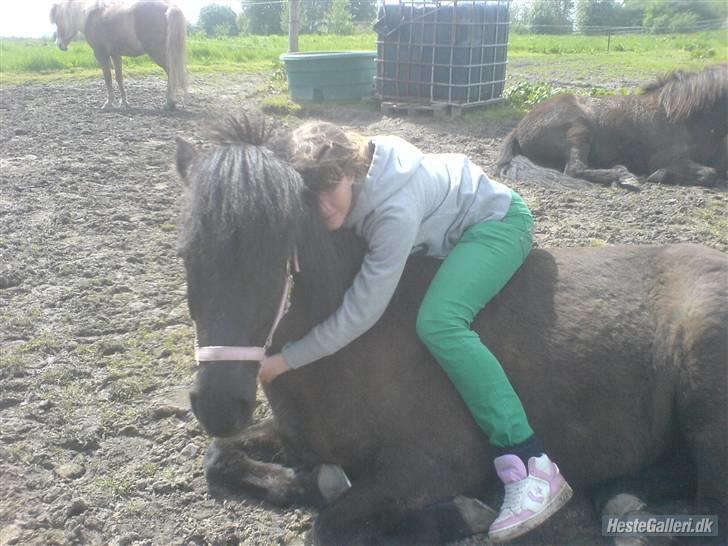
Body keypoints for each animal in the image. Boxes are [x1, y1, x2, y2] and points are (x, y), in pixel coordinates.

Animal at [50, 0, 188, 110]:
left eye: (58, 21)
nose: (59, 45)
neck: (90, 15)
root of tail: (169, 8)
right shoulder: (115, 54)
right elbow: (119, 78)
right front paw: (124, 102)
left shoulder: (101, 54)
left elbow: (108, 78)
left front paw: (109, 103)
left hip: (158, 53)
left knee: (171, 72)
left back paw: (169, 103)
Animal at [176, 113, 728, 540]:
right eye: (185, 255)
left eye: (278, 262)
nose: (218, 404)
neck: (344, 357)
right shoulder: (295, 440)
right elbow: (219, 457)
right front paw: (310, 481)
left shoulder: (435, 464)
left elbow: (330, 525)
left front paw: (456, 516)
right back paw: (621, 494)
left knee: (711, 507)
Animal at [494, 64, 728, 189]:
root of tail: (519, 128)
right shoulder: (665, 158)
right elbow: (709, 173)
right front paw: (662, 175)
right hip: (578, 130)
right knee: (575, 169)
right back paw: (623, 176)